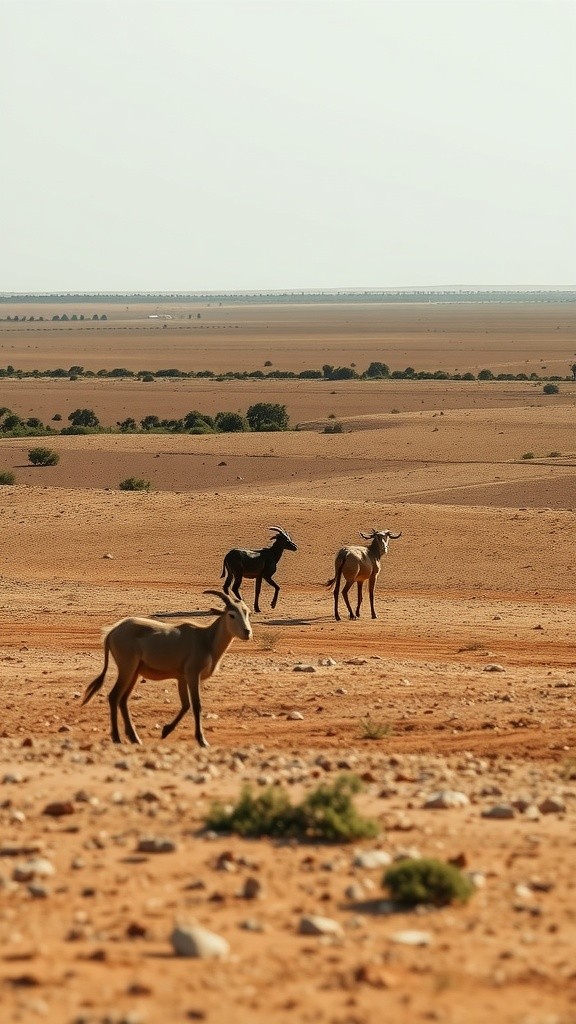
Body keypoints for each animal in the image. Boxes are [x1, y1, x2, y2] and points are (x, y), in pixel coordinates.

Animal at [81, 590, 252, 748]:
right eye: (231, 614)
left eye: (247, 612)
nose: (247, 632)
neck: (206, 639)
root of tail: (113, 631)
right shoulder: (192, 675)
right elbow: (196, 705)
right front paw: (202, 741)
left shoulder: (182, 678)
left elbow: (186, 705)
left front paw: (165, 730)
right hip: (127, 669)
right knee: (114, 696)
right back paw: (117, 738)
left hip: (134, 673)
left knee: (122, 700)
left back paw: (135, 738)